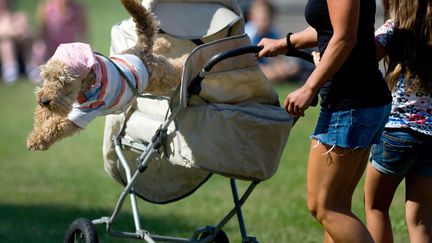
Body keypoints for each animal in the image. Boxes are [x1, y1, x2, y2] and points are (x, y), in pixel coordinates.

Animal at [27, 0, 186, 150]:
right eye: (46, 76)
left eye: (65, 81)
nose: (44, 101)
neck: (87, 83)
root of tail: (139, 51)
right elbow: (43, 115)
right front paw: (39, 123)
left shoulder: (82, 113)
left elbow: (55, 124)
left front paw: (35, 140)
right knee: (157, 43)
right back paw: (165, 43)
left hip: (161, 77)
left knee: (177, 67)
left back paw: (188, 58)